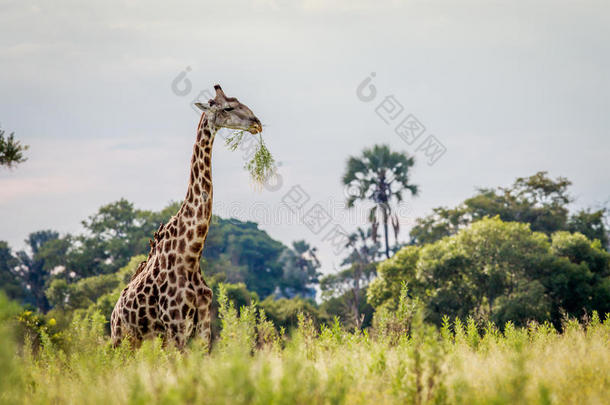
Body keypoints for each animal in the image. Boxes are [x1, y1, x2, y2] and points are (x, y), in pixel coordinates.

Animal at [110, 84, 262, 348]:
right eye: (228, 108)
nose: (257, 123)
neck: (191, 255)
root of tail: (113, 313)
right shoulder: (176, 326)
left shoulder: (202, 328)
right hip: (121, 339)